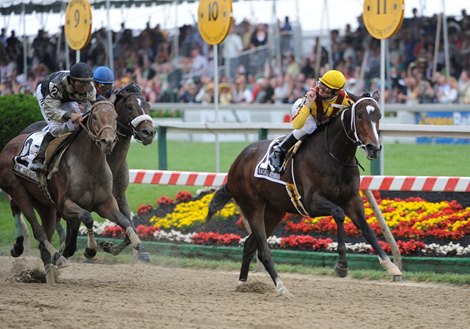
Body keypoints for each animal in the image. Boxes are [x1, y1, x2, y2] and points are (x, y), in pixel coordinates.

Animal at [0, 98, 148, 284]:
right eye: (94, 117)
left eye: (115, 117)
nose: (108, 141)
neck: (90, 165)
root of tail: (8, 145)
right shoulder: (66, 205)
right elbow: (87, 217)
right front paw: (90, 249)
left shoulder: (107, 202)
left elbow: (125, 221)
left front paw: (141, 250)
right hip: (18, 191)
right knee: (37, 230)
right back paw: (52, 256)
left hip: (45, 205)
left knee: (44, 242)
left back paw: (49, 278)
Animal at [207, 91, 402, 296]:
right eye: (359, 116)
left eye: (379, 116)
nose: (374, 147)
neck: (335, 156)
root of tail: (237, 162)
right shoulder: (311, 202)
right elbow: (339, 214)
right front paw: (342, 265)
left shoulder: (352, 199)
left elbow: (366, 228)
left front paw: (390, 266)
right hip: (253, 206)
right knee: (263, 251)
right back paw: (281, 287)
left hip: (274, 212)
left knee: (250, 244)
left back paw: (243, 284)